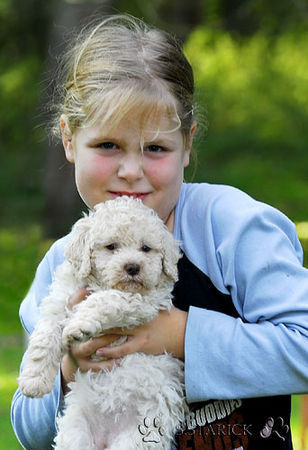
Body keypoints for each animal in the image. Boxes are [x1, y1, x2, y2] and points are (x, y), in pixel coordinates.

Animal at [19, 197, 189, 450]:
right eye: (111, 247)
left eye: (145, 248)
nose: (133, 267)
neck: (100, 283)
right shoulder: (59, 301)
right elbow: (45, 336)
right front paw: (33, 380)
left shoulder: (142, 301)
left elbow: (107, 299)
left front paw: (79, 325)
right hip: (75, 432)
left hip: (136, 438)